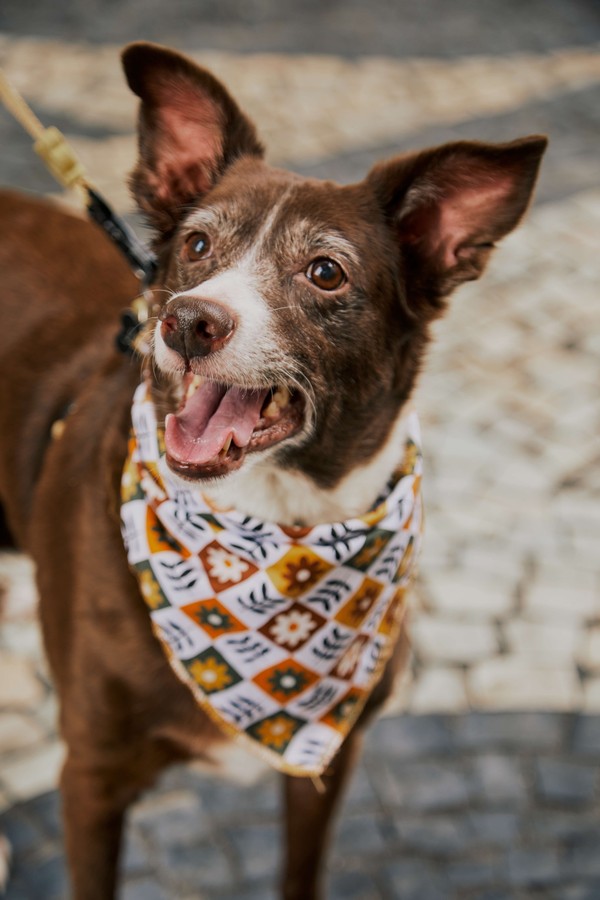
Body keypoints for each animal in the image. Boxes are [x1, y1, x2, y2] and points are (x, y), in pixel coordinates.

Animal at [0, 40, 548, 892]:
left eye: (325, 272)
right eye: (196, 245)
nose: (187, 321)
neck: (272, 529)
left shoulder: (328, 759)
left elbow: (301, 872)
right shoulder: (89, 773)